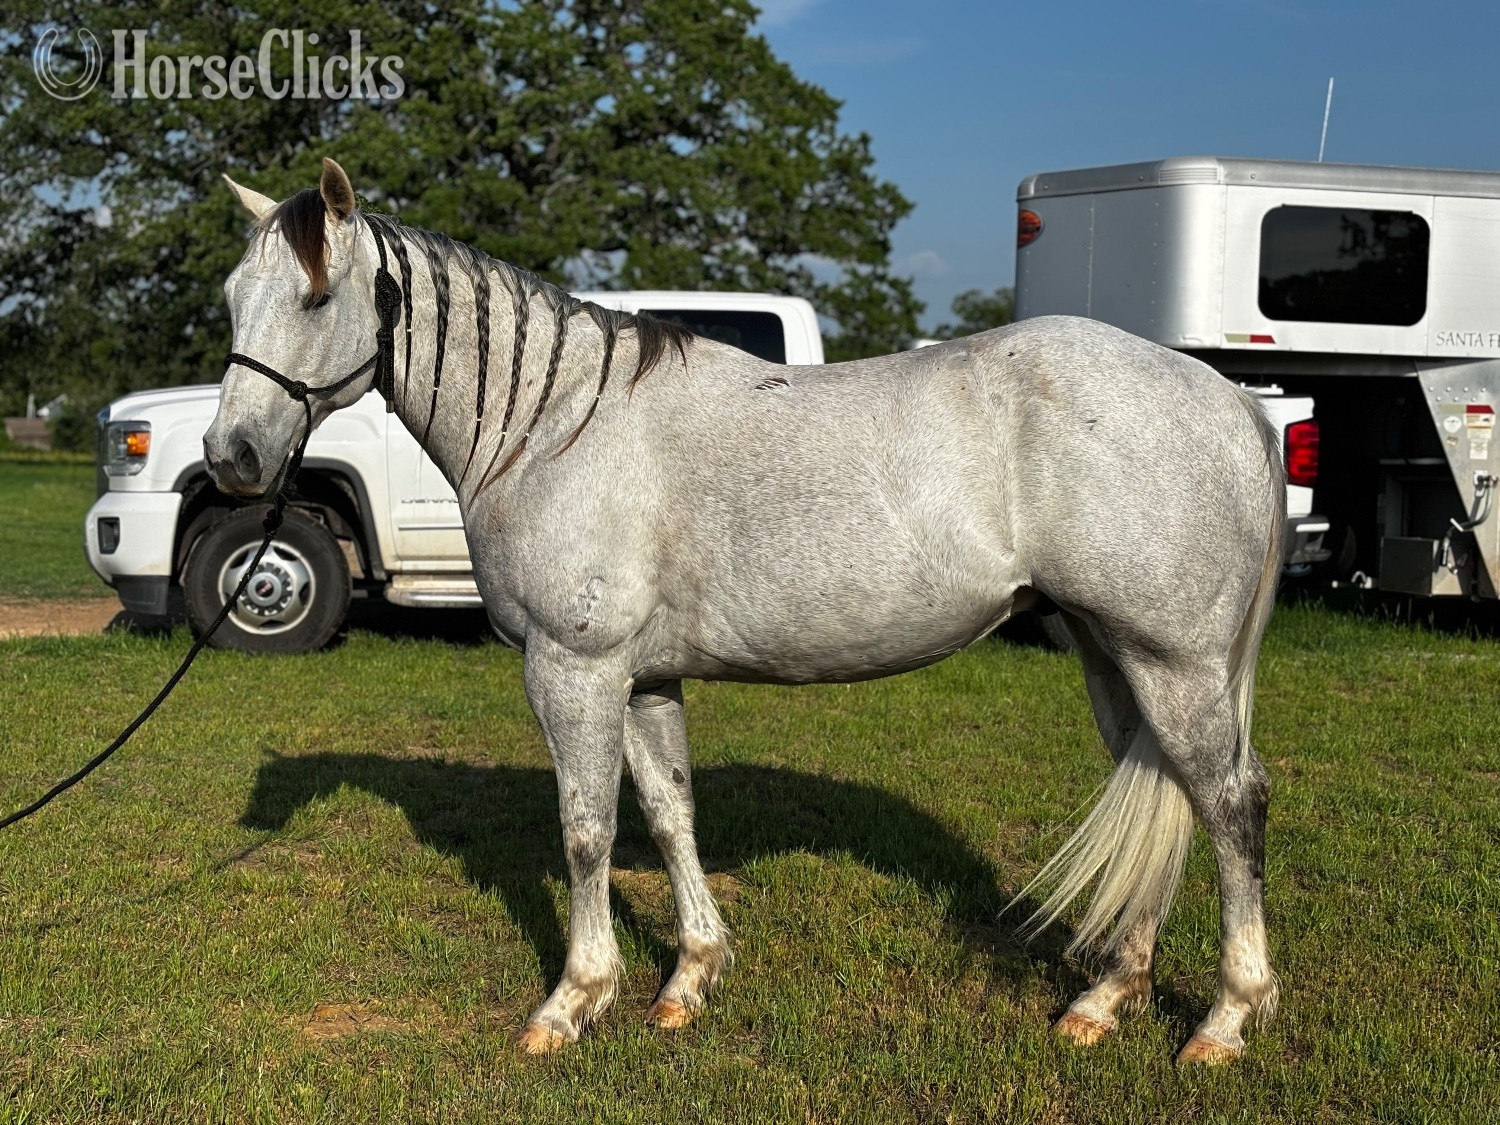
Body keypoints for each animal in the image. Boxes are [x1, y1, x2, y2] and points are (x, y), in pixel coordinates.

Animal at [204, 159, 1285, 1063]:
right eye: (230, 298)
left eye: (317, 294)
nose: (233, 457)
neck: (556, 426)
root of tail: (1224, 395)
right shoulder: (642, 677)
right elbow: (670, 813)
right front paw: (689, 976)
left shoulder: (573, 669)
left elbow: (586, 829)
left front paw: (572, 1000)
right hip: (1113, 655)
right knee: (1164, 793)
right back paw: (1106, 998)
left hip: (1174, 662)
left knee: (1230, 803)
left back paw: (1226, 1019)